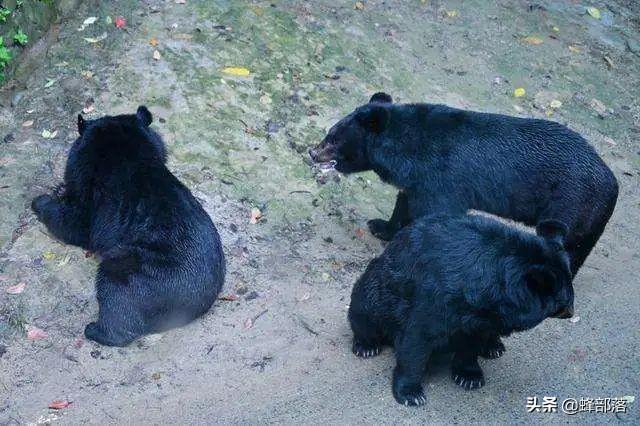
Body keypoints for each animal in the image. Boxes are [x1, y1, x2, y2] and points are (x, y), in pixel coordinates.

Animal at [33, 106, 228, 346]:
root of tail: (196, 301)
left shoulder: (96, 198)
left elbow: (77, 223)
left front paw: (41, 201)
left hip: (139, 272)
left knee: (116, 292)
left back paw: (96, 330)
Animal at [308, 91, 616, 274]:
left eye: (333, 138)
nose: (312, 152)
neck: (407, 151)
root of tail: (612, 183)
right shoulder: (419, 181)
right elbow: (404, 203)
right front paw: (381, 226)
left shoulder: (442, 178)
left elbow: (433, 213)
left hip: (570, 203)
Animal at [350, 213, 576, 406]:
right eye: (565, 303)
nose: (571, 312)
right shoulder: (437, 298)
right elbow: (417, 340)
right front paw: (411, 394)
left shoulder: (480, 317)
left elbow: (471, 343)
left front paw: (469, 376)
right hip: (375, 290)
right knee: (365, 313)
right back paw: (366, 346)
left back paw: (494, 346)